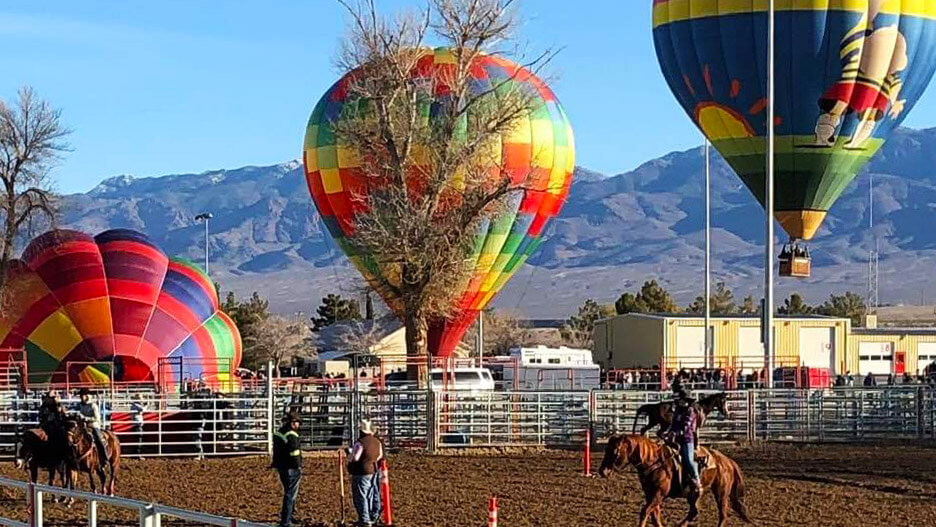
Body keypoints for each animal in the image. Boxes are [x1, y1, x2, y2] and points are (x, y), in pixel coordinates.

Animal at [600, 434, 744, 527]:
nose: (602, 471)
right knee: (694, 511)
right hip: (693, 494)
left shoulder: (658, 494)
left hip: (721, 492)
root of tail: (728, 461)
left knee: (722, 514)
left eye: (615, 451)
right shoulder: (651, 494)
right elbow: (654, 515)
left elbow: (645, 511)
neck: (654, 462)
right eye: (606, 449)